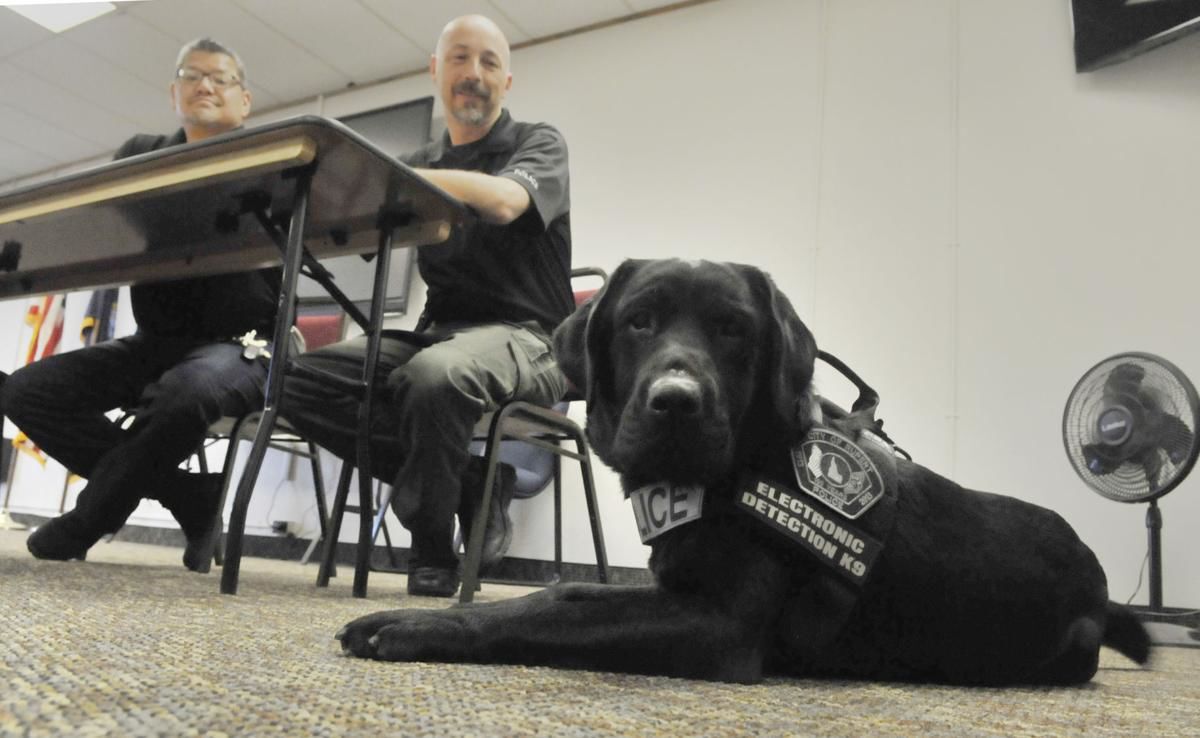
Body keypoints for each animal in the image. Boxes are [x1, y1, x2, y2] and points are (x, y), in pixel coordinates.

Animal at [333, 260, 1147, 686]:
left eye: (733, 330)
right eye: (638, 322)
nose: (676, 402)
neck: (731, 474)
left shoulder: (717, 625)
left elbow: (547, 613)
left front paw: (415, 624)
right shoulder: (672, 586)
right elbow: (564, 592)